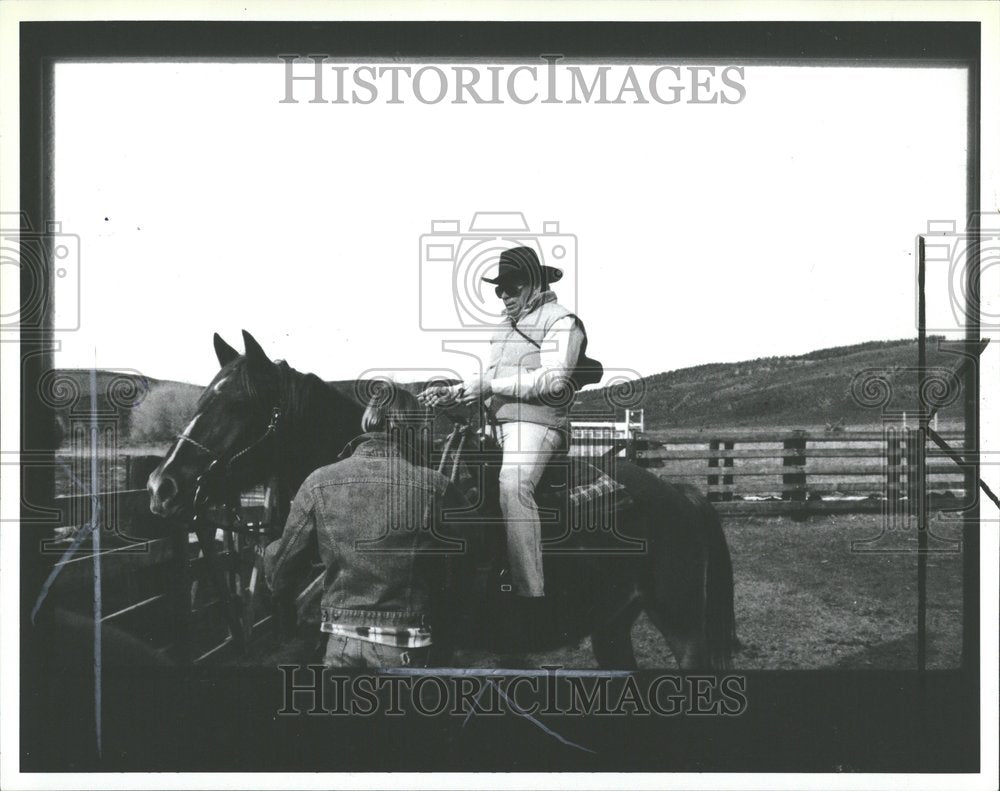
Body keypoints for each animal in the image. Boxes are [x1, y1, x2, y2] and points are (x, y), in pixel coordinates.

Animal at [148, 332, 740, 672]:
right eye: (200, 399)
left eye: (237, 404)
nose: (161, 485)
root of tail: (683, 494)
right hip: (612, 624)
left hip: (684, 630)